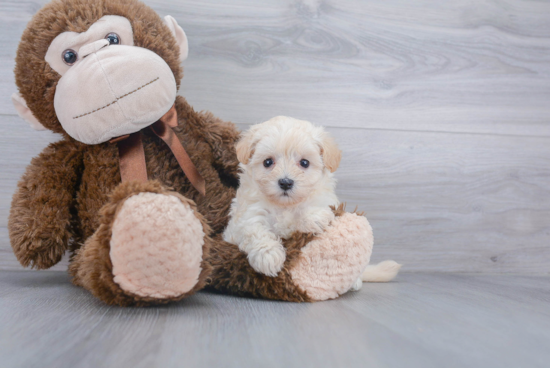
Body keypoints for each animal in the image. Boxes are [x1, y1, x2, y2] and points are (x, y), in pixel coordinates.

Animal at [223, 115, 342, 276]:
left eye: (304, 163)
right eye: (268, 162)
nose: (285, 182)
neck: (284, 205)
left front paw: (314, 217)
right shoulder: (246, 217)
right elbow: (254, 230)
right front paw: (268, 256)